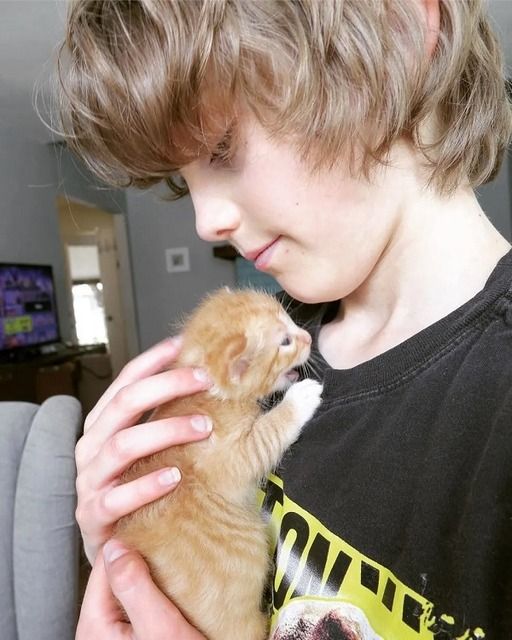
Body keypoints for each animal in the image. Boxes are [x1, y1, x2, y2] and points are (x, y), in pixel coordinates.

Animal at [114, 288, 323, 640]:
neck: (211, 393)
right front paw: (301, 398)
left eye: (292, 321)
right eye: (285, 342)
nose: (308, 337)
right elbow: (270, 431)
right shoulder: (235, 454)